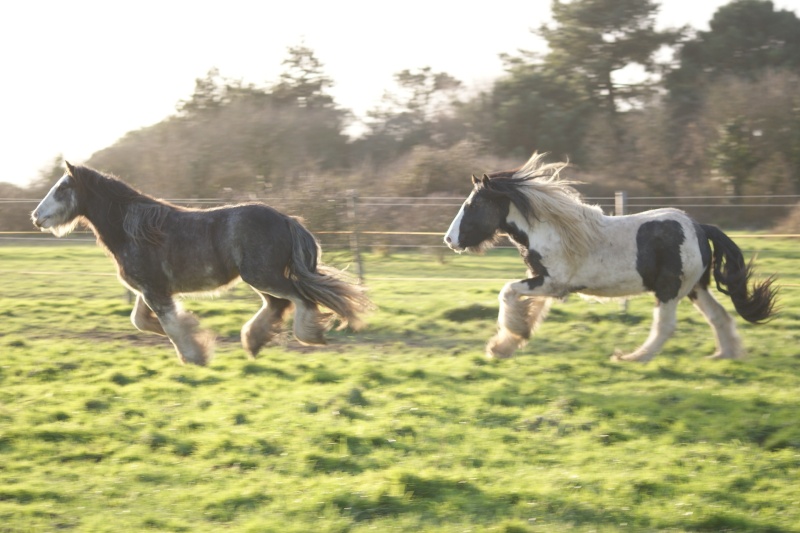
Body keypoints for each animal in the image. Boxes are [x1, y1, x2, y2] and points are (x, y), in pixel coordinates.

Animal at [30, 160, 368, 364]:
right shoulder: (149, 290)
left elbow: (170, 324)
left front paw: (196, 355)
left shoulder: (154, 290)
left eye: (62, 189)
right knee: (278, 304)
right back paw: (253, 343)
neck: (135, 230)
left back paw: (309, 336)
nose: (36, 217)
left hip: (263, 276)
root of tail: (287, 219)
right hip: (261, 278)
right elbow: (142, 320)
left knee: (299, 299)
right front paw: (193, 333)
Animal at [444, 154, 776, 362]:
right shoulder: (543, 282)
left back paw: (632, 358)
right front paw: (505, 345)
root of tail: (699, 227)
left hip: (669, 290)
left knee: (665, 327)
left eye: (473, 205)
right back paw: (725, 355)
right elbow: (529, 307)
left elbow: (507, 292)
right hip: (695, 287)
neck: (553, 230)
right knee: (718, 316)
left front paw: (511, 336)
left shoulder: (552, 283)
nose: (449, 239)